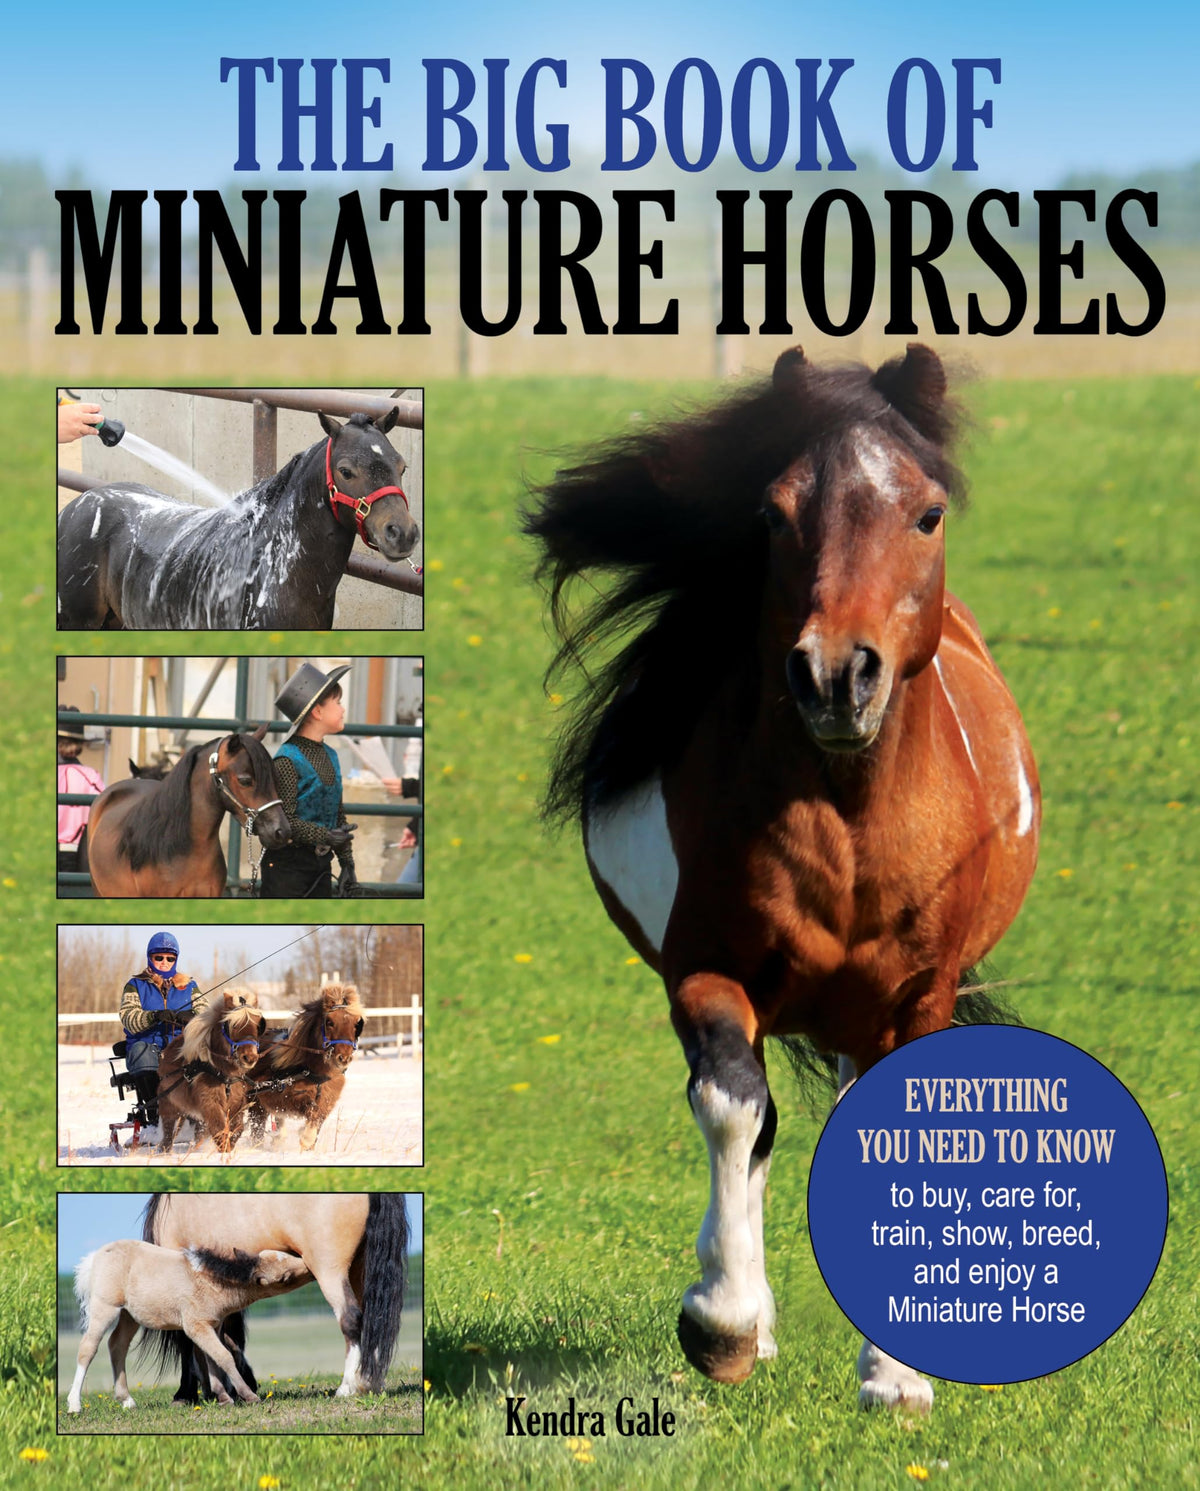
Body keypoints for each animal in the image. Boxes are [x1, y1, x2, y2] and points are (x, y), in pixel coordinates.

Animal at [68, 1242, 309, 1413]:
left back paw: (126, 1401)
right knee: (88, 1348)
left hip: (129, 1316)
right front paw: (248, 1396)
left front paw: (223, 1398)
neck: (210, 1282)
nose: (307, 1265)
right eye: (285, 1277)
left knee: (117, 1346)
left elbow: (212, 1359)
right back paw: (74, 1405)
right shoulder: (196, 1326)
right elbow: (224, 1356)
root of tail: (93, 1259)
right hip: (105, 1308)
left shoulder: (212, 1326)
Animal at [142, 1192, 409, 1402]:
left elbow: (189, 1340)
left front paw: (185, 1394)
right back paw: (371, 1382)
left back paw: (348, 1387)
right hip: (359, 1268)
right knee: (374, 1320)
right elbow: (230, 1338)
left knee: (351, 1319)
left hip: (330, 1270)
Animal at [156, 994, 267, 1154]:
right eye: (233, 1025)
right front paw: (225, 1150)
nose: (250, 1057)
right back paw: (165, 1149)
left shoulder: (236, 1101)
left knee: (199, 1131)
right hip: (168, 1102)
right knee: (168, 1127)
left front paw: (230, 1145)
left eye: (258, 1026)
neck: (224, 1074)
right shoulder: (209, 1102)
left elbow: (237, 1127)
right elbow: (219, 1129)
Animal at [245, 984, 364, 1152]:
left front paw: (307, 1143)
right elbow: (310, 1112)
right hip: (255, 1100)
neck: (316, 1072)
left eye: (356, 1024)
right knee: (257, 1128)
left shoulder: (327, 1101)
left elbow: (317, 1118)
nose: (344, 1057)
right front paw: (305, 1138)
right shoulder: (286, 1097)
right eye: (329, 1022)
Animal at [525, 344, 1041, 1411]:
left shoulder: (917, 996)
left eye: (928, 512)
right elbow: (732, 1109)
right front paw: (723, 1323)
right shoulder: (706, 975)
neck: (849, 830)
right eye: (772, 512)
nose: (837, 675)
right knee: (751, 1120)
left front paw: (896, 1379)